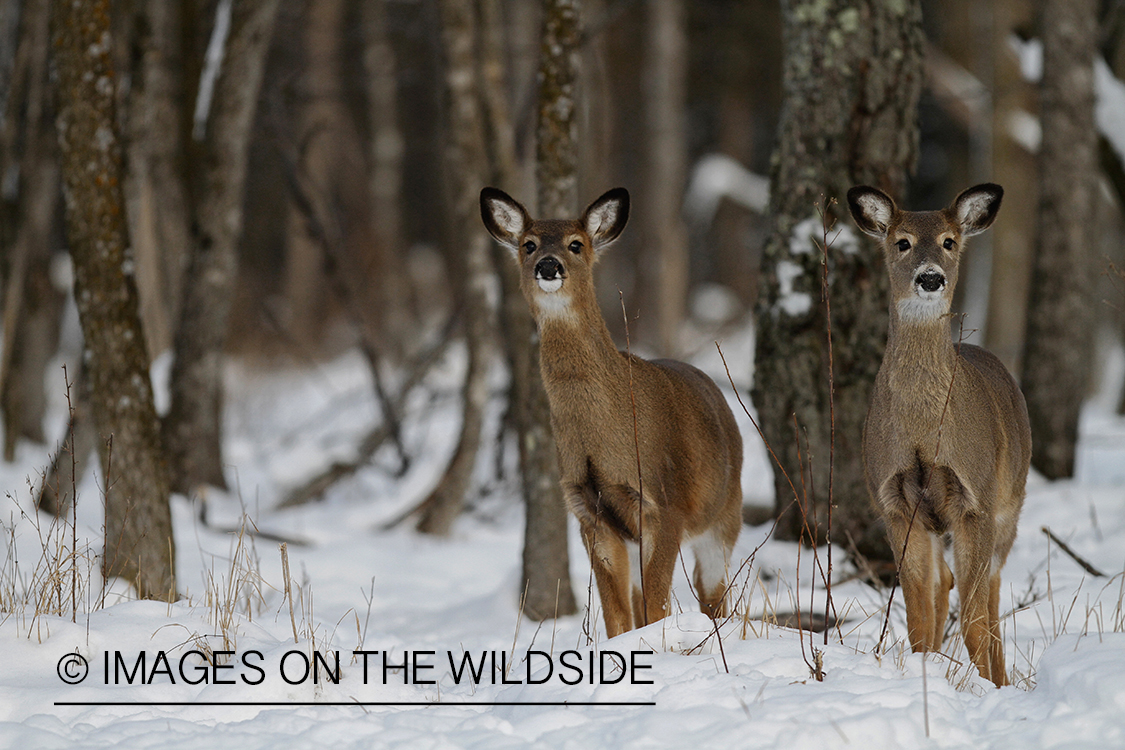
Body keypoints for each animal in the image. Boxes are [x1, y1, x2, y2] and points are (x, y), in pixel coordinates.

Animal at [479, 184, 742, 638]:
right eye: (529, 244)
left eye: (576, 244)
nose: (548, 265)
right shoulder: (589, 511)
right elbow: (617, 615)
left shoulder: (666, 503)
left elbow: (657, 608)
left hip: (726, 513)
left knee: (713, 594)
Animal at [846, 183, 1030, 688]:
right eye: (902, 242)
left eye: (949, 241)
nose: (930, 278)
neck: (924, 436)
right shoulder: (893, 502)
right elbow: (918, 613)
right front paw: (923, 669)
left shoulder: (976, 500)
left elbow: (975, 619)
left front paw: (988, 687)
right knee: (944, 584)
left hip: (1010, 506)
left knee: (990, 596)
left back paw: (1001, 676)